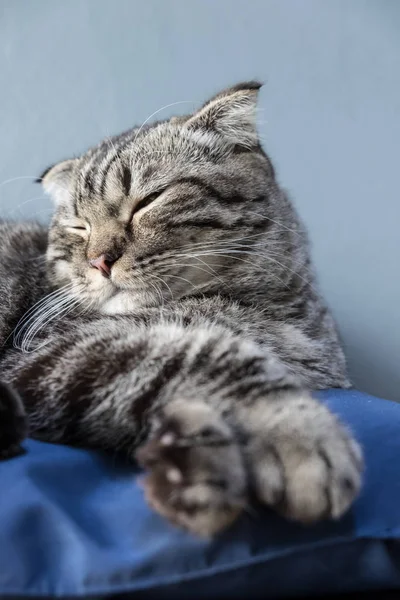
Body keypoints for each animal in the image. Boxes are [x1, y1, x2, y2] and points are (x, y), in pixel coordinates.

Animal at [0, 83, 362, 536]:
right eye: (78, 226)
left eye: (148, 201)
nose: (99, 260)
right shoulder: (57, 353)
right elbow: (209, 358)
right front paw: (296, 431)